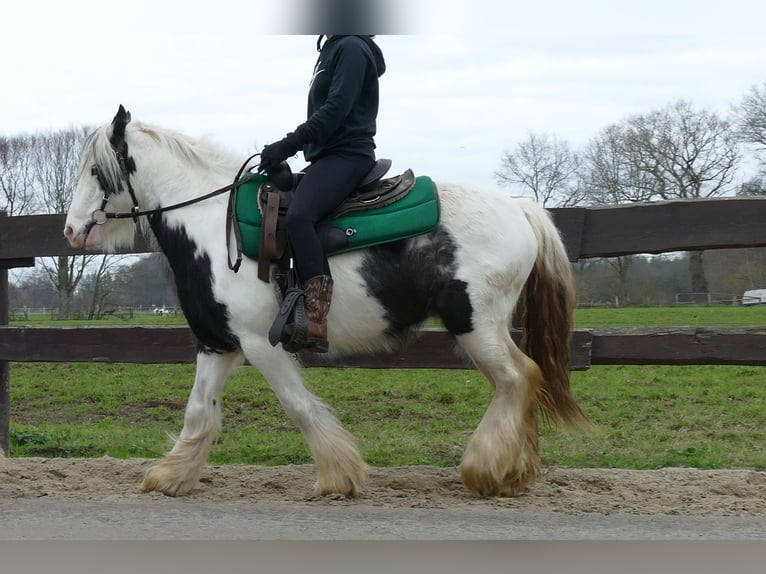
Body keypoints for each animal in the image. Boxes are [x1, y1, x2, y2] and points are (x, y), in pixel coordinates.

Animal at [66, 107, 592, 500]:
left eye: (95, 170)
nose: (70, 230)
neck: (214, 224)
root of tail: (519, 207)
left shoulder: (262, 343)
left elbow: (299, 406)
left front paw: (339, 478)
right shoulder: (218, 343)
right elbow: (200, 411)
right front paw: (171, 476)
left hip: (476, 324)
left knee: (517, 378)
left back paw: (486, 470)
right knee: (524, 381)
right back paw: (515, 473)